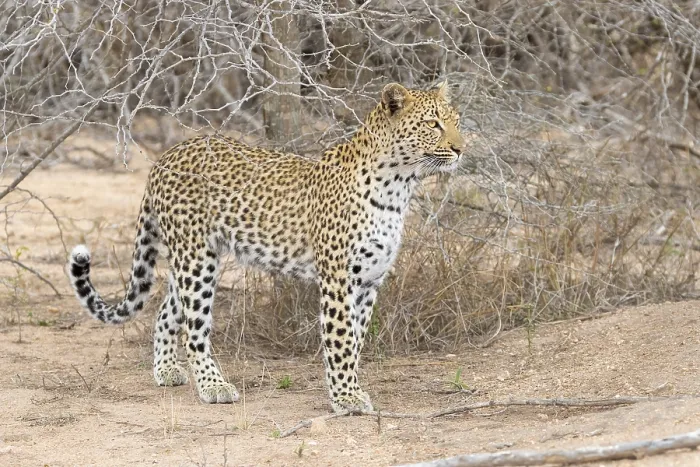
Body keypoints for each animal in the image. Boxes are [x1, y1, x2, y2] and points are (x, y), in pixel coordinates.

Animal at [67, 81, 466, 413]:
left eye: (456, 121)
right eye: (432, 124)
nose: (461, 149)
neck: (399, 186)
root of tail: (166, 157)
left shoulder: (369, 278)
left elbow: (355, 339)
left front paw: (349, 388)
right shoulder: (337, 277)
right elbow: (339, 338)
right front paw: (346, 398)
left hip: (194, 257)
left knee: (166, 312)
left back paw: (167, 370)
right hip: (196, 260)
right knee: (194, 329)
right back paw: (213, 386)